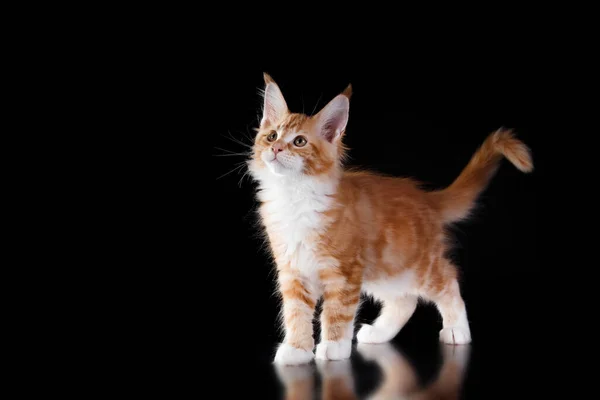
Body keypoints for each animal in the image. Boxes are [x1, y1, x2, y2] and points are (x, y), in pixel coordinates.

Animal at [248, 72, 536, 366]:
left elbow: (337, 310)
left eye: (299, 142)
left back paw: (458, 329)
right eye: (272, 136)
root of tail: (426, 198)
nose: (276, 148)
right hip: (385, 269)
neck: (293, 194)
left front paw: (334, 346)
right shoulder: (293, 270)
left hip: (418, 266)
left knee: (448, 280)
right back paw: (379, 333)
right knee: (405, 301)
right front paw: (297, 349)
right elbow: (296, 314)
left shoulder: (344, 271)